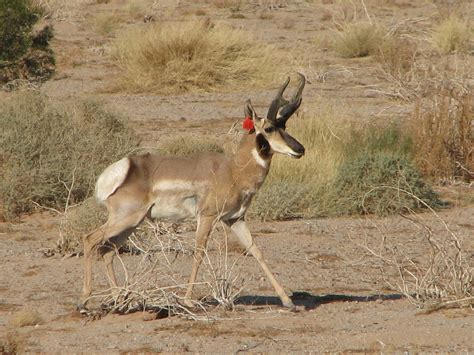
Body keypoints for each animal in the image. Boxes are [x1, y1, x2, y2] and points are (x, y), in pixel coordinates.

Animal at [79, 73, 306, 310]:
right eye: (269, 128)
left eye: (284, 124)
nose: (300, 149)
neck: (232, 168)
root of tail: (126, 166)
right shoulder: (207, 217)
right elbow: (199, 253)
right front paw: (188, 300)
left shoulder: (235, 219)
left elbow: (256, 251)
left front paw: (287, 300)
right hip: (125, 219)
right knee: (89, 239)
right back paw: (84, 301)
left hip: (132, 223)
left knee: (107, 251)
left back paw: (119, 300)